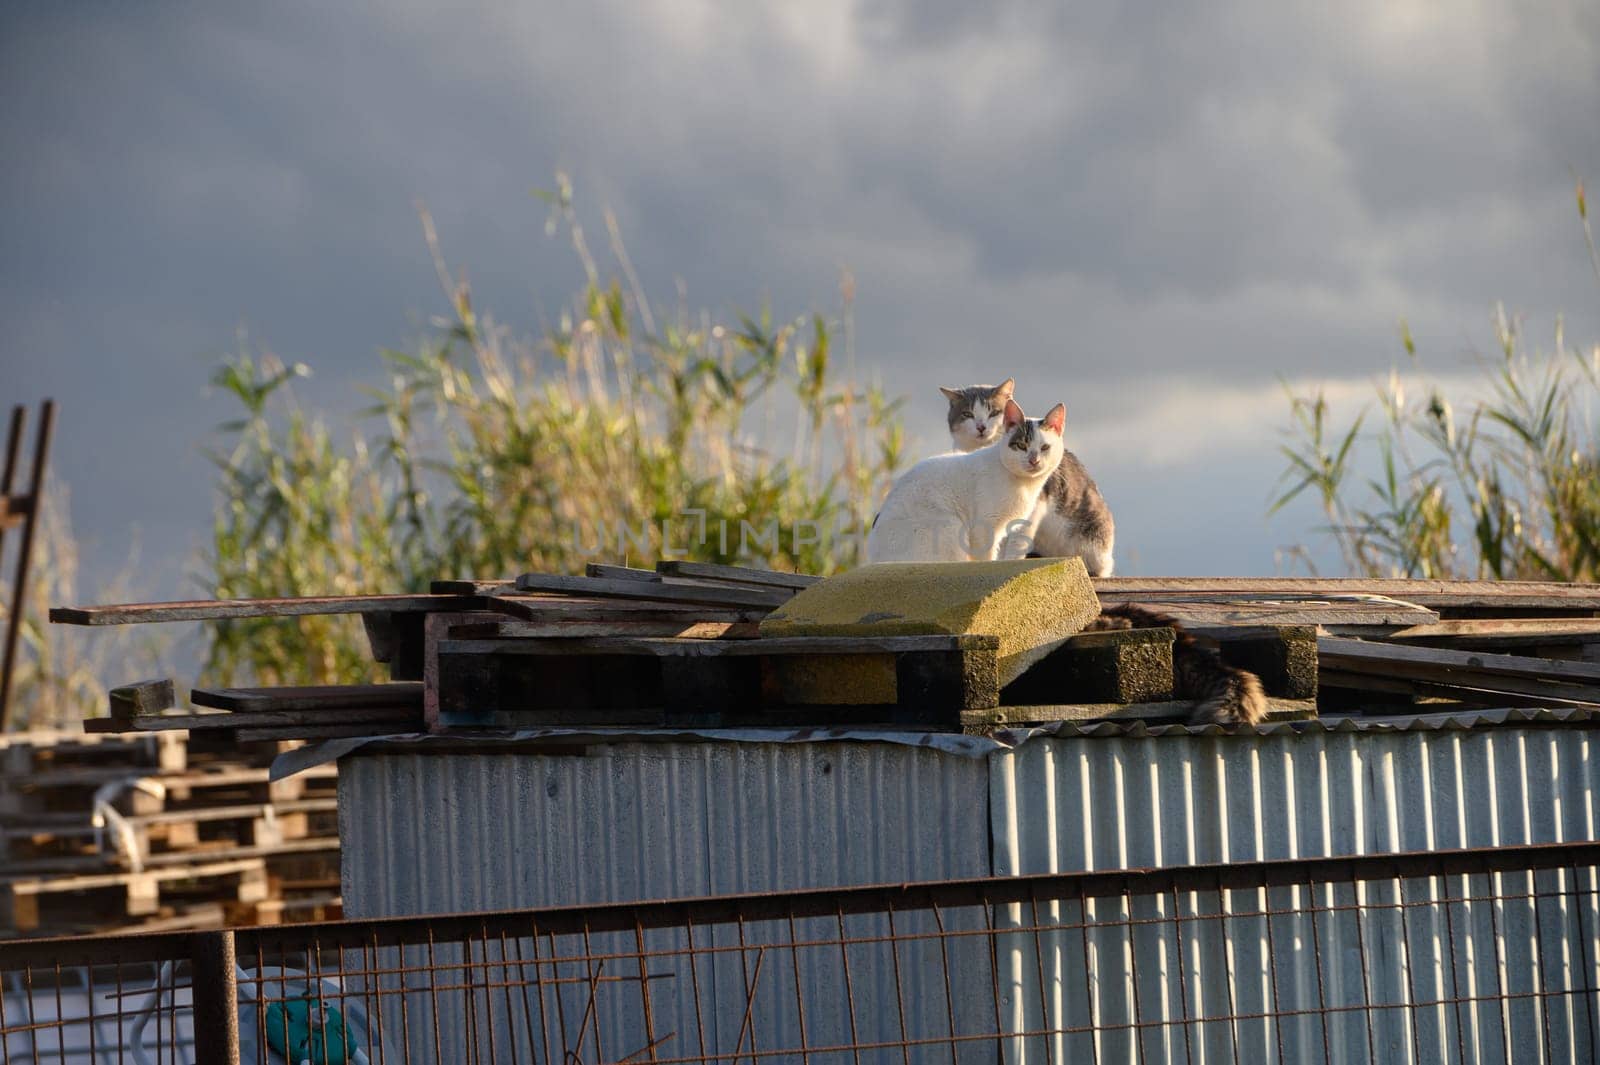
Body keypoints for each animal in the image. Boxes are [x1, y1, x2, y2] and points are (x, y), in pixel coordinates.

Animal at [870, 398, 1068, 562]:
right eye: (1021, 445)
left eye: (1044, 448)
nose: (1034, 460)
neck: (1025, 485)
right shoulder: (984, 527)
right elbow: (986, 556)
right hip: (951, 526)